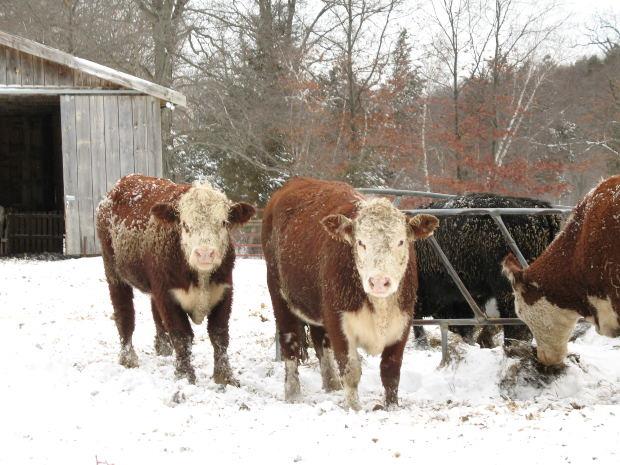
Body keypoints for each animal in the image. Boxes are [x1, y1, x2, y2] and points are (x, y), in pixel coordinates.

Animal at [95, 174, 254, 384]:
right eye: (185, 225)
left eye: (223, 223)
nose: (205, 254)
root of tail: (125, 181)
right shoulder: (167, 296)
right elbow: (181, 335)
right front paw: (185, 375)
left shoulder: (224, 291)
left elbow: (219, 335)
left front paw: (225, 376)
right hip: (114, 273)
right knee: (124, 315)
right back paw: (128, 357)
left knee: (155, 313)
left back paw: (163, 348)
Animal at [262, 176, 440, 408]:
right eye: (361, 242)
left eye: (400, 241)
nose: (379, 282)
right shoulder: (339, 322)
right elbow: (351, 371)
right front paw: (354, 408)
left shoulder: (403, 322)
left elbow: (391, 371)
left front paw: (391, 407)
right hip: (279, 295)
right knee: (289, 344)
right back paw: (293, 393)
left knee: (320, 341)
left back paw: (331, 384)